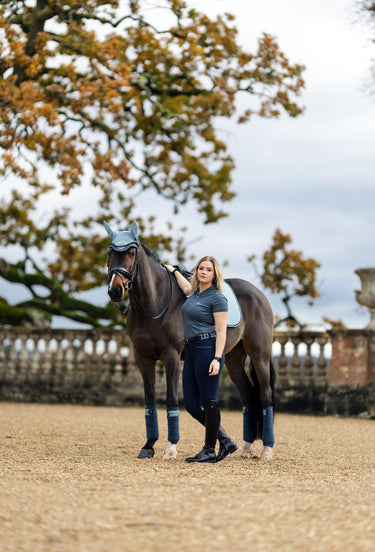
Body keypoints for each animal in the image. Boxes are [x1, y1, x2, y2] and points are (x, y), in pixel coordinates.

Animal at [104, 222, 274, 460]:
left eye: (131, 252)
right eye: (110, 253)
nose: (115, 290)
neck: (155, 304)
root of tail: (259, 295)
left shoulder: (171, 356)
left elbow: (171, 399)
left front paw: (170, 449)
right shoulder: (143, 357)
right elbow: (150, 400)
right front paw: (149, 446)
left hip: (260, 356)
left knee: (266, 396)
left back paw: (267, 450)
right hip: (233, 360)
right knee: (249, 396)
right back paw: (246, 448)